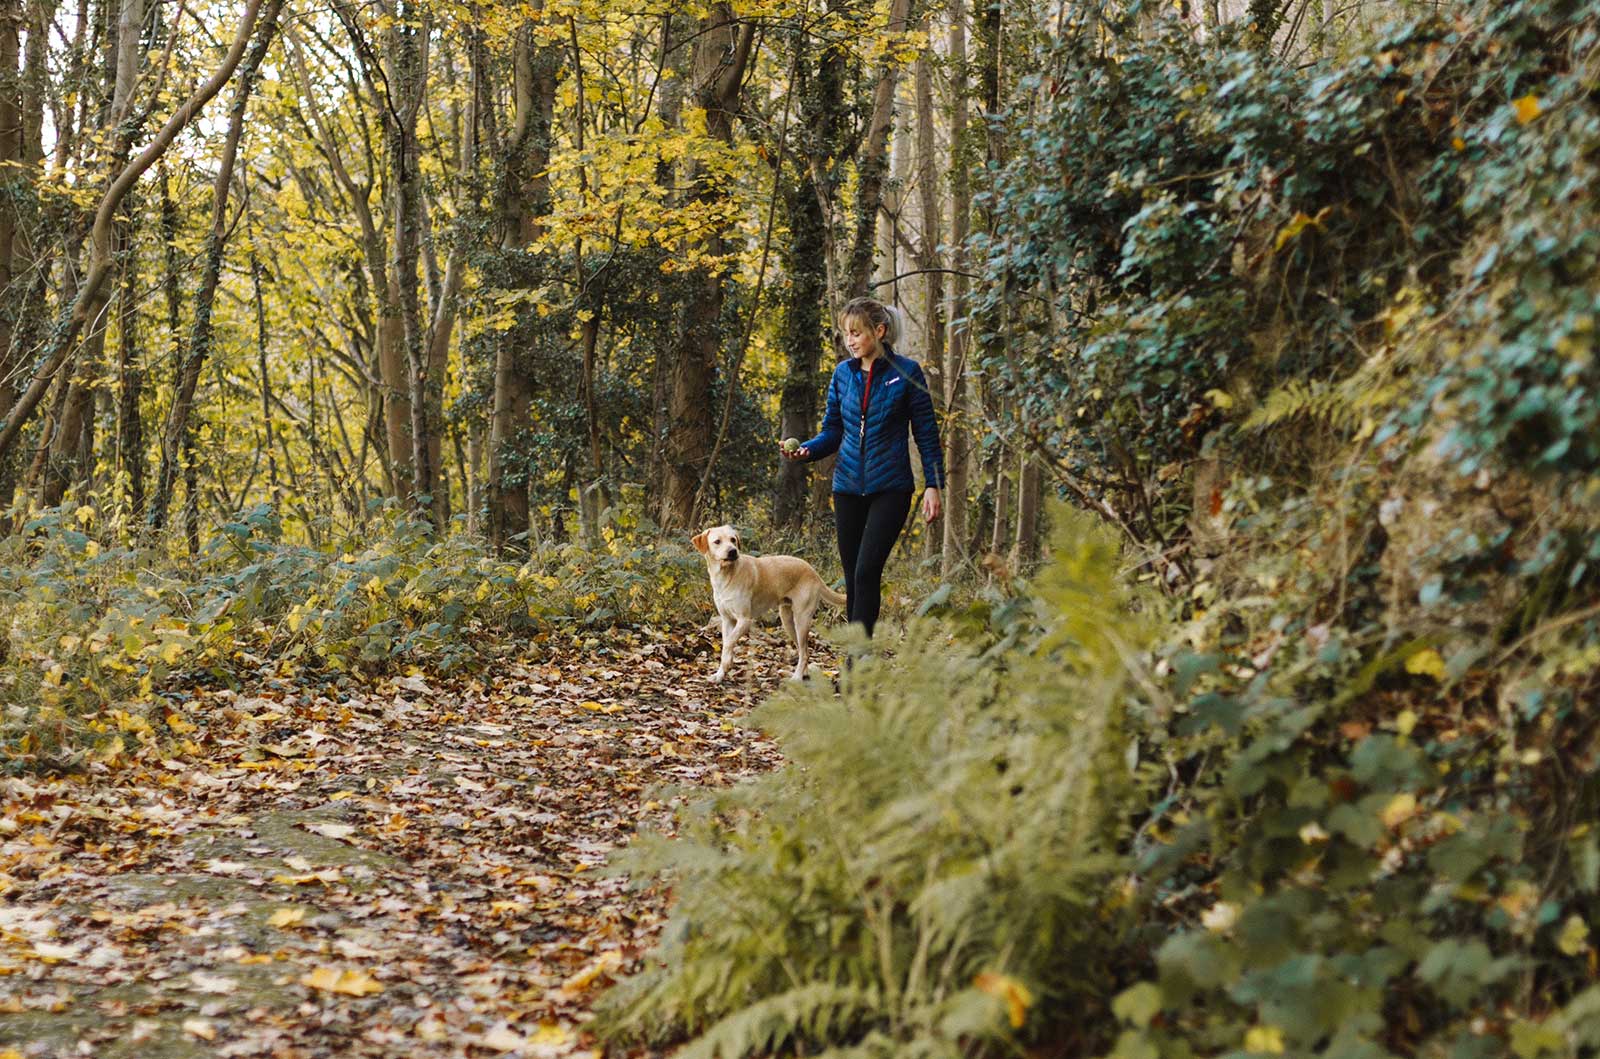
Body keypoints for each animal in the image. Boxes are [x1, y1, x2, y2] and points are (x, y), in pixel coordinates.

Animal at [697, 524, 851, 687]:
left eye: (733, 539)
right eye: (717, 541)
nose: (733, 551)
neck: (726, 575)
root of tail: (813, 572)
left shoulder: (744, 620)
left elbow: (728, 643)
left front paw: (727, 664)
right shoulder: (727, 620)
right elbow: (727, 642)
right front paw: (720, 674)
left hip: (801, 620)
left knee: (804, 653)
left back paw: (797, 677)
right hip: (787, 621)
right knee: (804, 651)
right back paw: (803, 674)